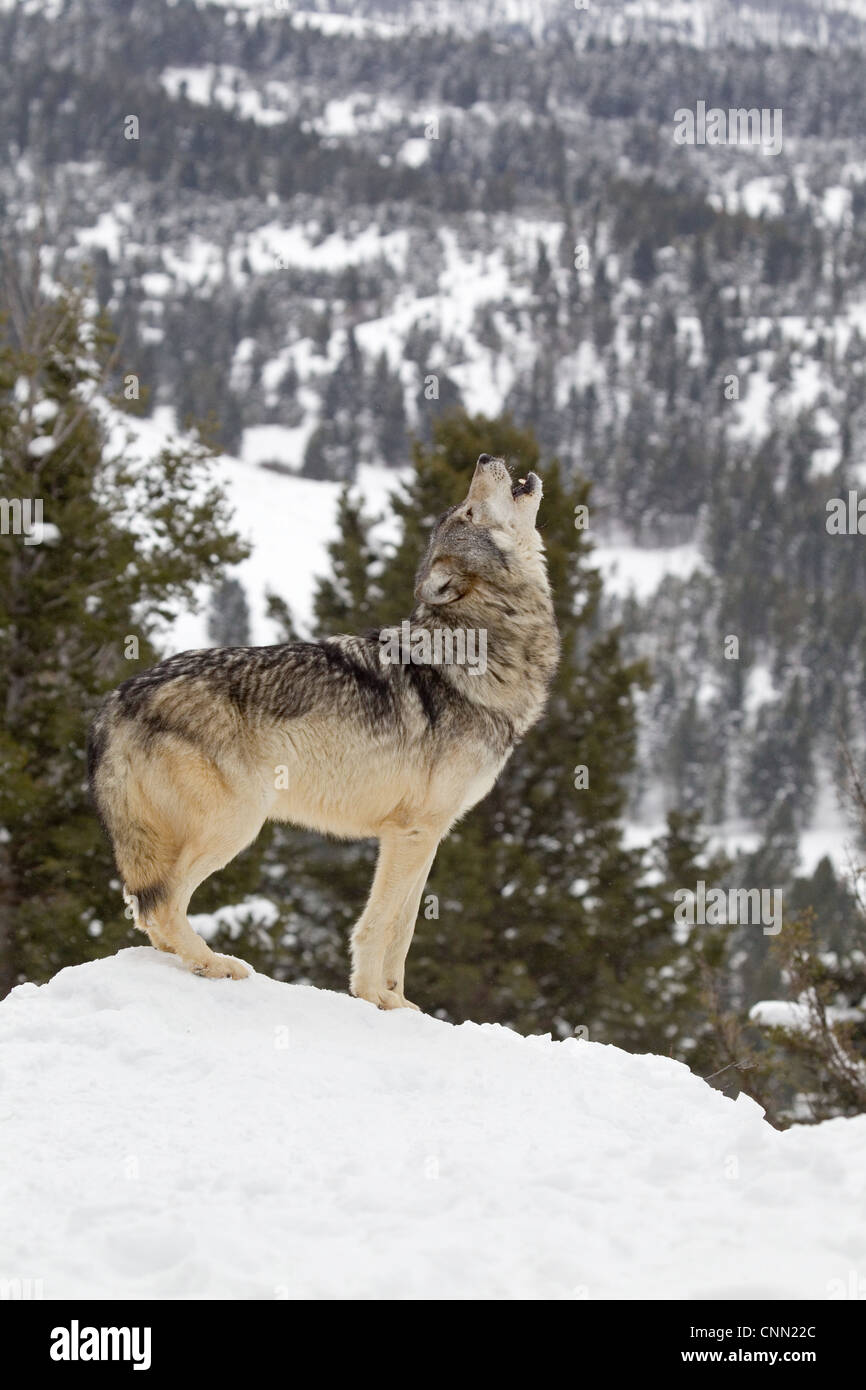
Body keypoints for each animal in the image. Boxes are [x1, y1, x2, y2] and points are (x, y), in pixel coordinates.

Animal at [89, 455, 561, 1011]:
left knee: (152, 915)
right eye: (467, 510)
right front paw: (372, 998)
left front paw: (400, 1005)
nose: (486, 459)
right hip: (237, 824)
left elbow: (404, 931)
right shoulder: (410, 832)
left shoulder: (428, 835)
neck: (483, 648)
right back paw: (215, 963)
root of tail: (118, 698)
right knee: (159, 905)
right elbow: (379, 924)